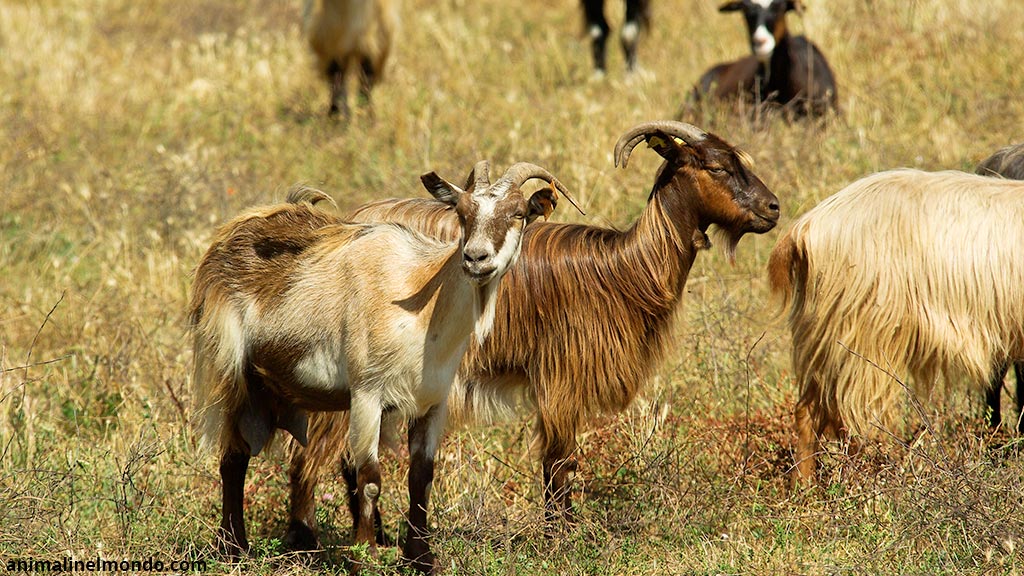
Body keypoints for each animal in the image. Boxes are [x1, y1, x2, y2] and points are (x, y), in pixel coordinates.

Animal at [189, 161, 571, 572]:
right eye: (462, 213)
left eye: (517, 213)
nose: (476, 258)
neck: (421, 305)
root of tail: (238, 228)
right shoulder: (367, 396)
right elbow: (369, 478)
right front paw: (365, 558)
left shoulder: (432, 402)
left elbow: (421, 476)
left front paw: (422, 559)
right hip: (230, 370)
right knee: (233, 456)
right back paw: (232, 548)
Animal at [281, 120, 781, 549]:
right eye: (716, 166)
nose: (773, 208)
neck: (623, 272)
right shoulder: (560, 379)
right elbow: (559, 463)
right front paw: (562, 539)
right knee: (310, 458)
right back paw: (308, 543)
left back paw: (378, 539)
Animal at [768, 169, 1024, 484]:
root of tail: (806, 226)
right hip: (862, 339)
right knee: (854, 421)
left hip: (829, 336)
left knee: (810, 412)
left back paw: (805, 487)